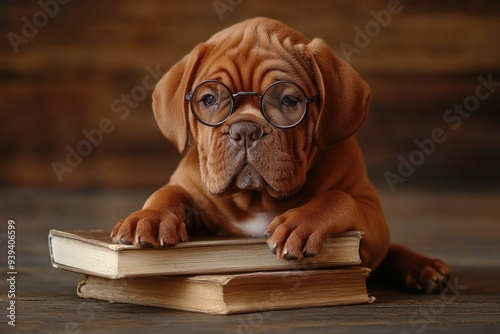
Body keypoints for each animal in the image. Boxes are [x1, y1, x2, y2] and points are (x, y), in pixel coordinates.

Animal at [111, 17, 452, 292]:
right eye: (208, 99)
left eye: (289, 100)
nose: (245, 130)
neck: (257, 199)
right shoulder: (189, 186)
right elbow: (168, 192)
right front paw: (151, 217)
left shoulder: (371, 213)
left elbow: (339, 198)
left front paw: (302, 223)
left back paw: (424, 268)